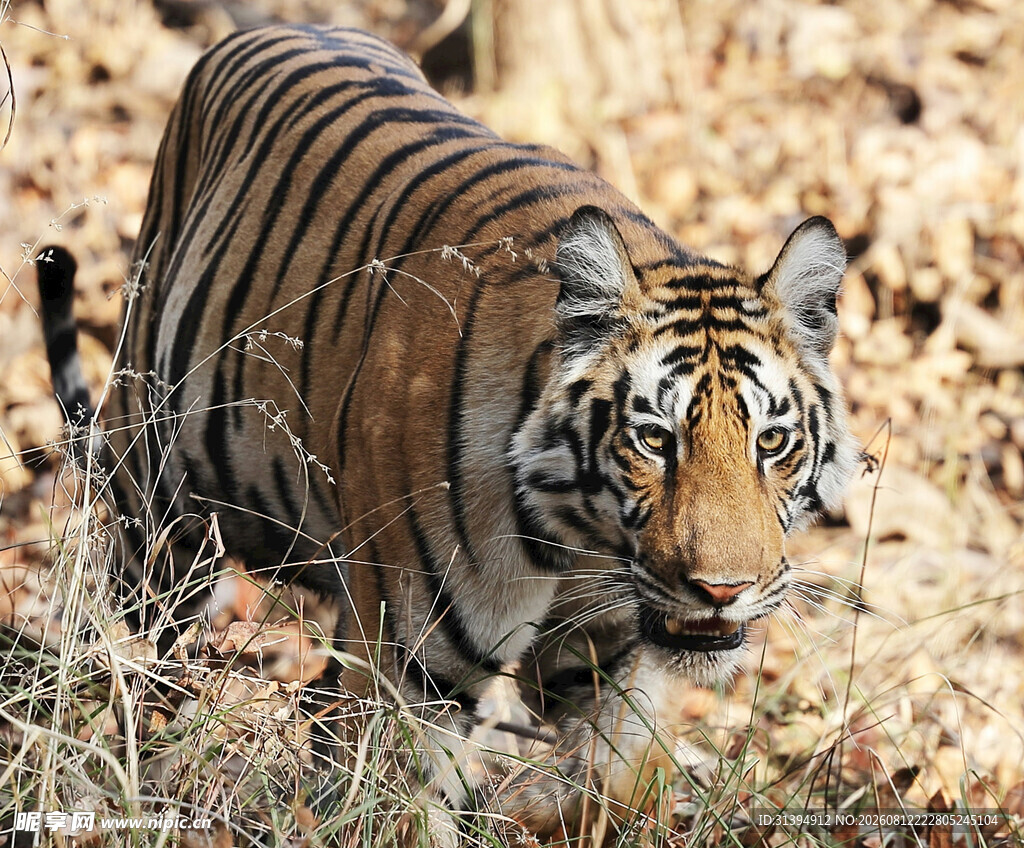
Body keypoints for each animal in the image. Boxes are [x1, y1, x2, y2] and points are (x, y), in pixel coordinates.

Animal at [38, 23, 858, 842]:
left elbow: (608, 780)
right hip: (158, 521)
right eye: (655, 440)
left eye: (771, 442)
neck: (582, 535)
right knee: (126, 659)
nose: (723, 592)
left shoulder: (614, 655)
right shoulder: (418, 670)